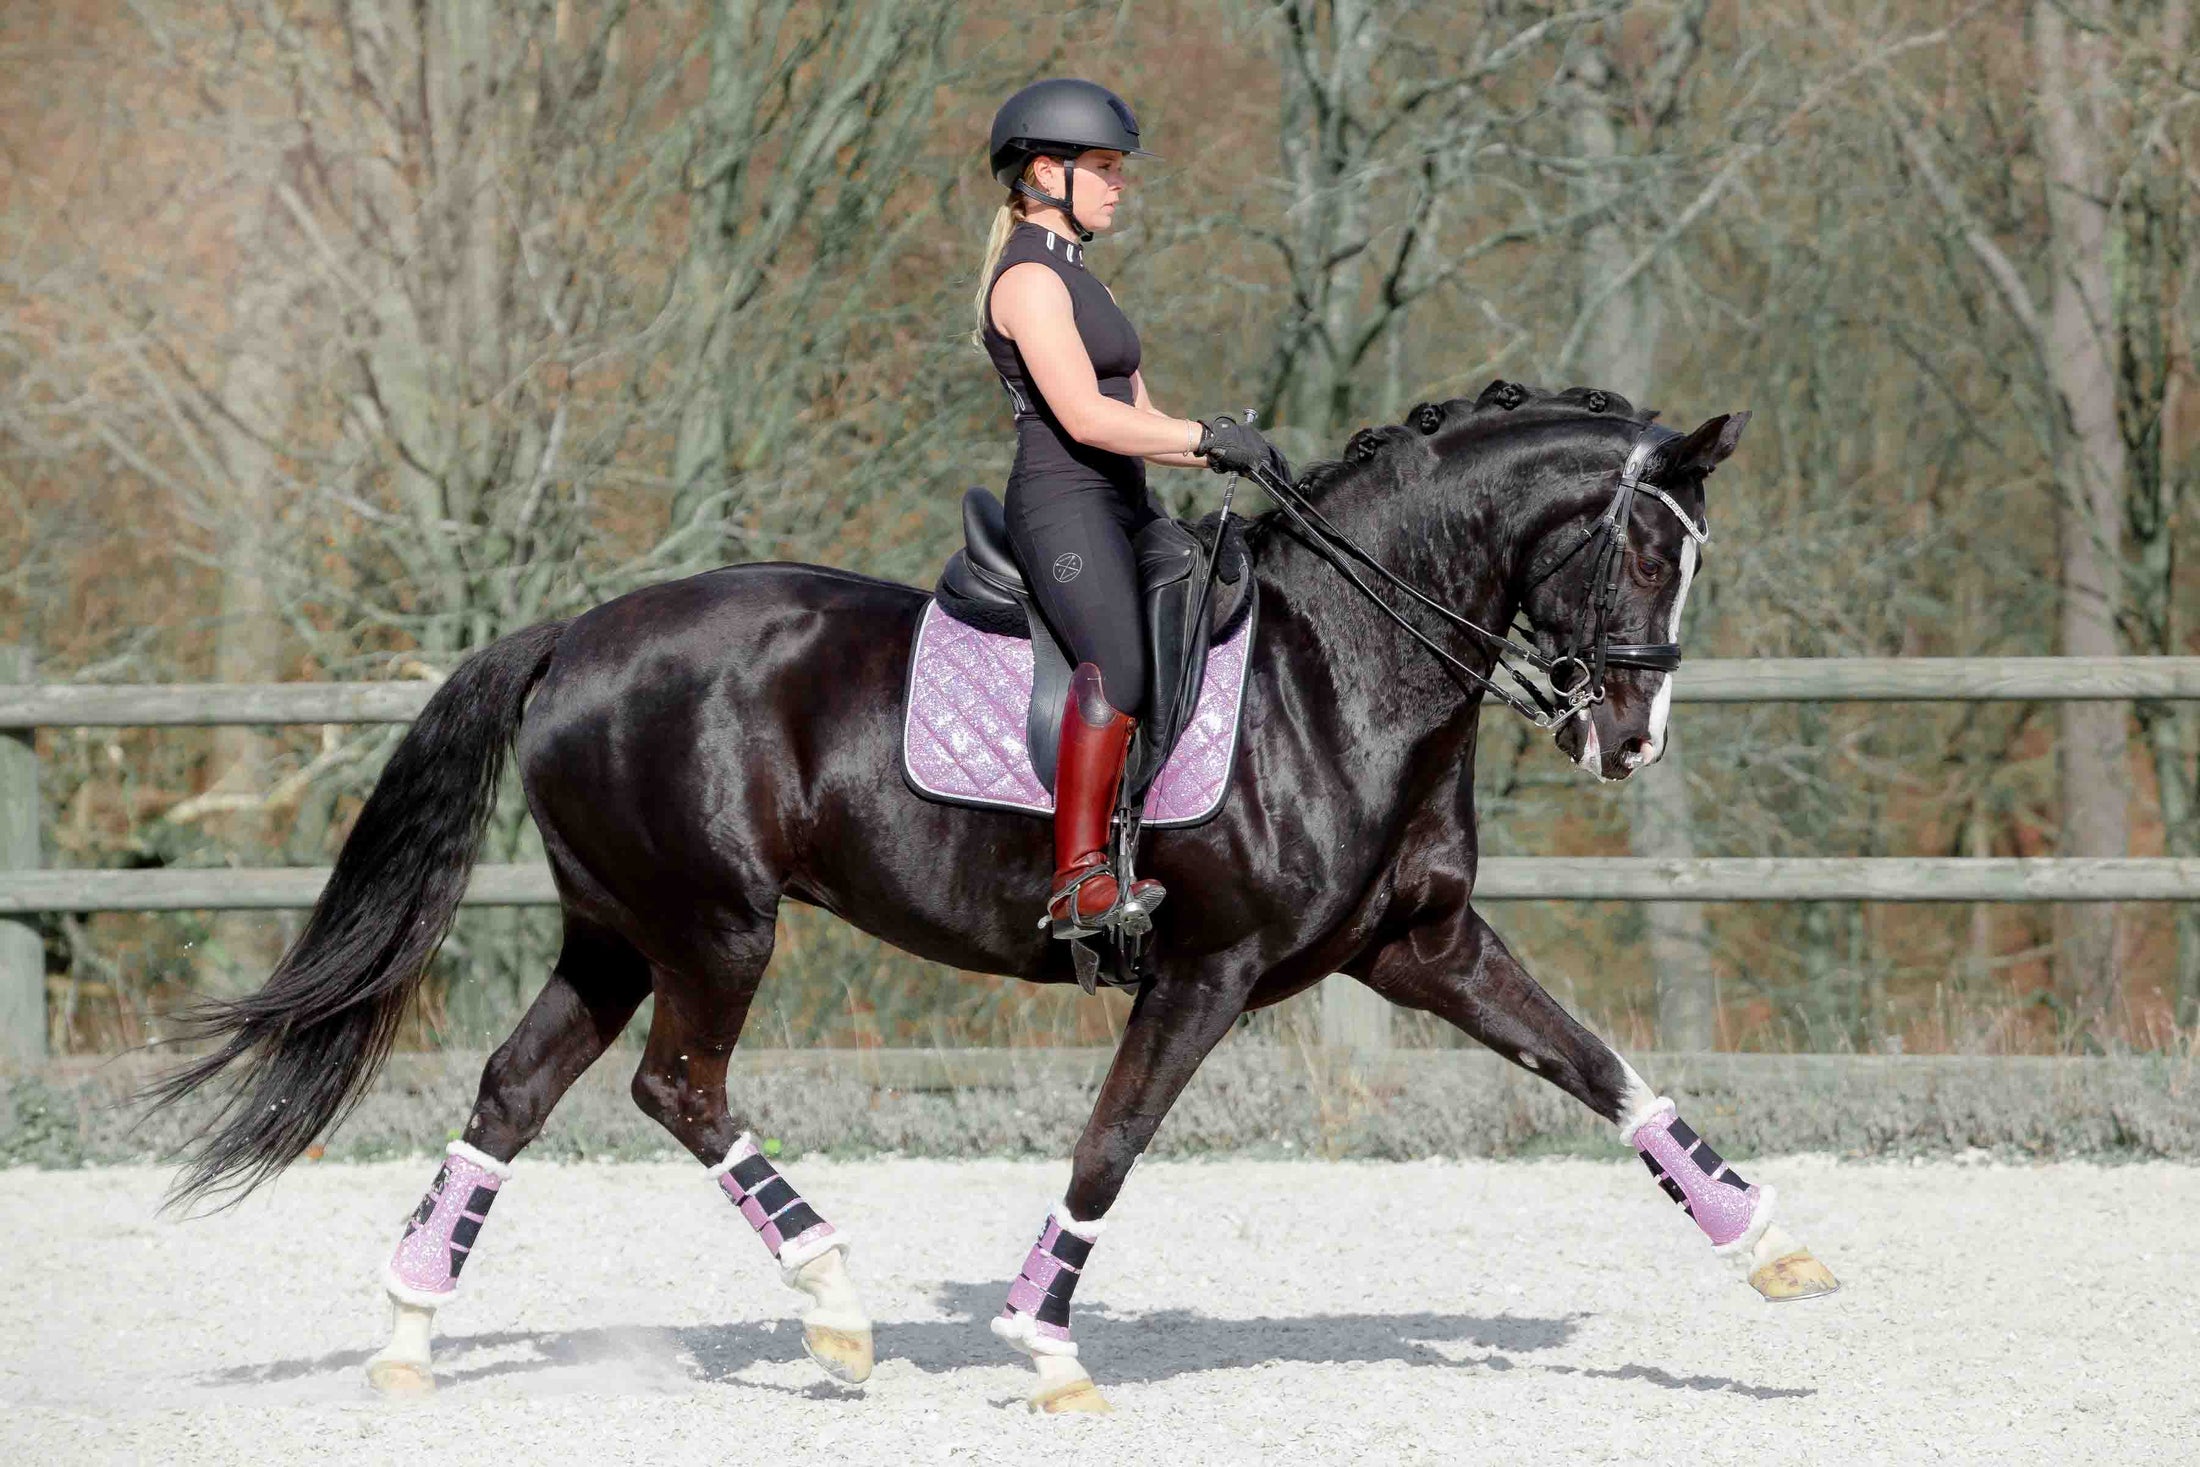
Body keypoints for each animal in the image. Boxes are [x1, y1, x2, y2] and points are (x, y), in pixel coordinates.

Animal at [145, 381, 1837, 1414]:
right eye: (1643, 548)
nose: (1631, 734)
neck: (1343, 669)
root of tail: (576, 633)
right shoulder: (1208, 969)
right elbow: (1114, 1138)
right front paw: (1044, 1341)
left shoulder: (1425, 945)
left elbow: (1602, 1067)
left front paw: (1766, 1242)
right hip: (715, 925)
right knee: (677, 1086)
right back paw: (835, 1300)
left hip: (617, 932)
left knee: (514, 1086)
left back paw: (408, 1327)